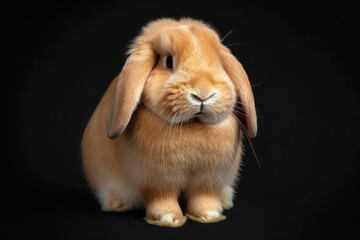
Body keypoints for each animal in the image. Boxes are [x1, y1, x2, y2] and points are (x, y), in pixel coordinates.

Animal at [81, 17, 256, 228]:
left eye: (220, 63)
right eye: (168, 61)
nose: (203, 93)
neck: (191, 126)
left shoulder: (208, 179)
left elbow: (204, 197)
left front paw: (209, 215)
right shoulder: (157, 180)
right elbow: (162, 198)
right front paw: (168, 218)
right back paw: (116, 204)